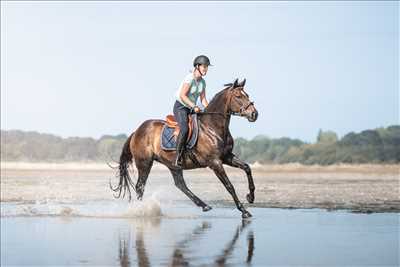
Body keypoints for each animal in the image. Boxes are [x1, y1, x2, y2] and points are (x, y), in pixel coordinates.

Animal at [110, 78, 260, 219]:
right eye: (238, 96)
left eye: (247, 95)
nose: (254, 114)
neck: (212, 127)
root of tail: (136, 131)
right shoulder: (215, 162)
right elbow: (229, 186)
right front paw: (244, 211)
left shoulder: (227, 157)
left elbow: (247, 168)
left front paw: (250, 197)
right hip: (144, 163)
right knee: (140, 186)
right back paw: (141, 210)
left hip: (172, 165)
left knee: (180, 184)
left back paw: (204, 205)